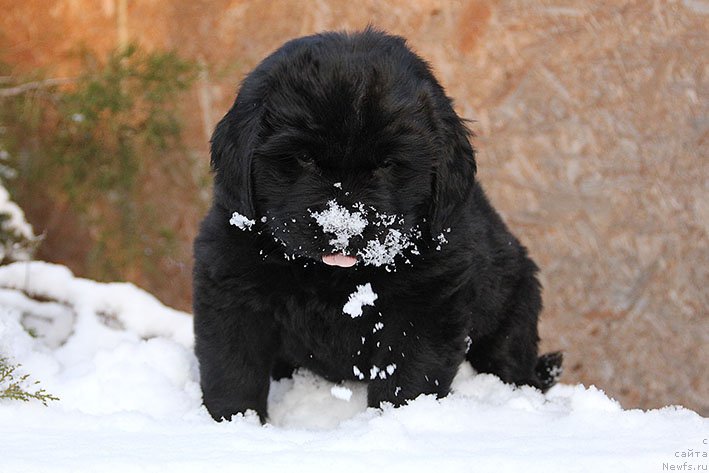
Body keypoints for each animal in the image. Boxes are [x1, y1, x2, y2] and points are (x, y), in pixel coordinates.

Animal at [192, 29, 560, 420]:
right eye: (304, 157)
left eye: (387, 163)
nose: (344, 229)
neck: (331, 278)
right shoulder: (229, 283)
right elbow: (233, 369)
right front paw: (234, 423)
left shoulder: (426, 304)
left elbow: (408, 378)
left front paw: (394, 421)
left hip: (513, 305)